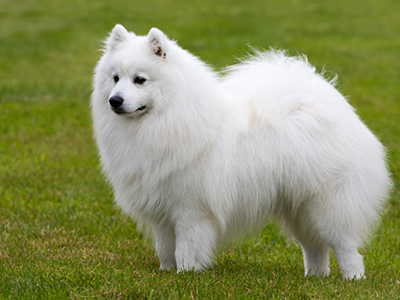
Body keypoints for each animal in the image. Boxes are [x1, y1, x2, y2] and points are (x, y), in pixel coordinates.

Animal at [90, 24, 390, 280]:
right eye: (115, 78)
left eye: (140, 80)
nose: (115, 100)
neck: (168, 117)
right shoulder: (163, 212)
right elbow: (165, 249)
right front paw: (167, 272)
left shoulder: (190, 209)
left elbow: (186, 247)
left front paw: (185, 274)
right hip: (298, 206)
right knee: (314, 246)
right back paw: (314, 277)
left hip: (327, 204)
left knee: (345, 245)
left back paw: (352, 278)